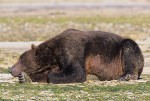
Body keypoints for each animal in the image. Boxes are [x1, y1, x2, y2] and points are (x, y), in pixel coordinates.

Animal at [9, 28, 144, 83]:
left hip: (122, 53)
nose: (11, 69)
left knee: (129, 47)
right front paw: (24, 77)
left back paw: (126, 76)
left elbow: (77, 72)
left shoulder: (70, 49)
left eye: (20, 59)